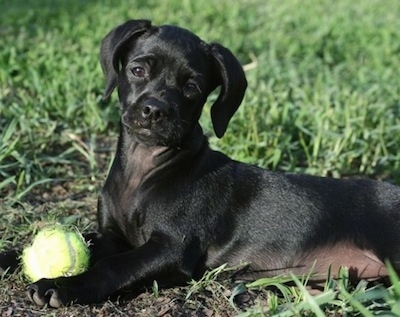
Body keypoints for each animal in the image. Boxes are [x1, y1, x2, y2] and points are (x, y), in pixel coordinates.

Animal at [0, 19, 400, 306]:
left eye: (191, 86)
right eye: (138, 71)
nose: (154, 111)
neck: (145, 171)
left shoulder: (173, 249)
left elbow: (114, 266)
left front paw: (63, 286)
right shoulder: (115, 236)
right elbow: (87, 240)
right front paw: (8, 256)